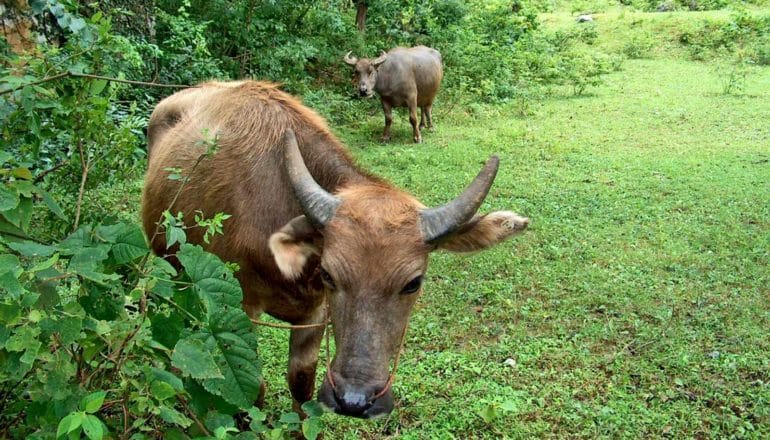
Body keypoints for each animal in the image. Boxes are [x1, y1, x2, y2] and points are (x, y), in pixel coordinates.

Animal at [141, 80, 528, 420]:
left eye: (413, 283)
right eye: (330, 274)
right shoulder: (238, 310)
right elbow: (254, 391)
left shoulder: (314, 312)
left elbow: (301, 382)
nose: (355, 400)